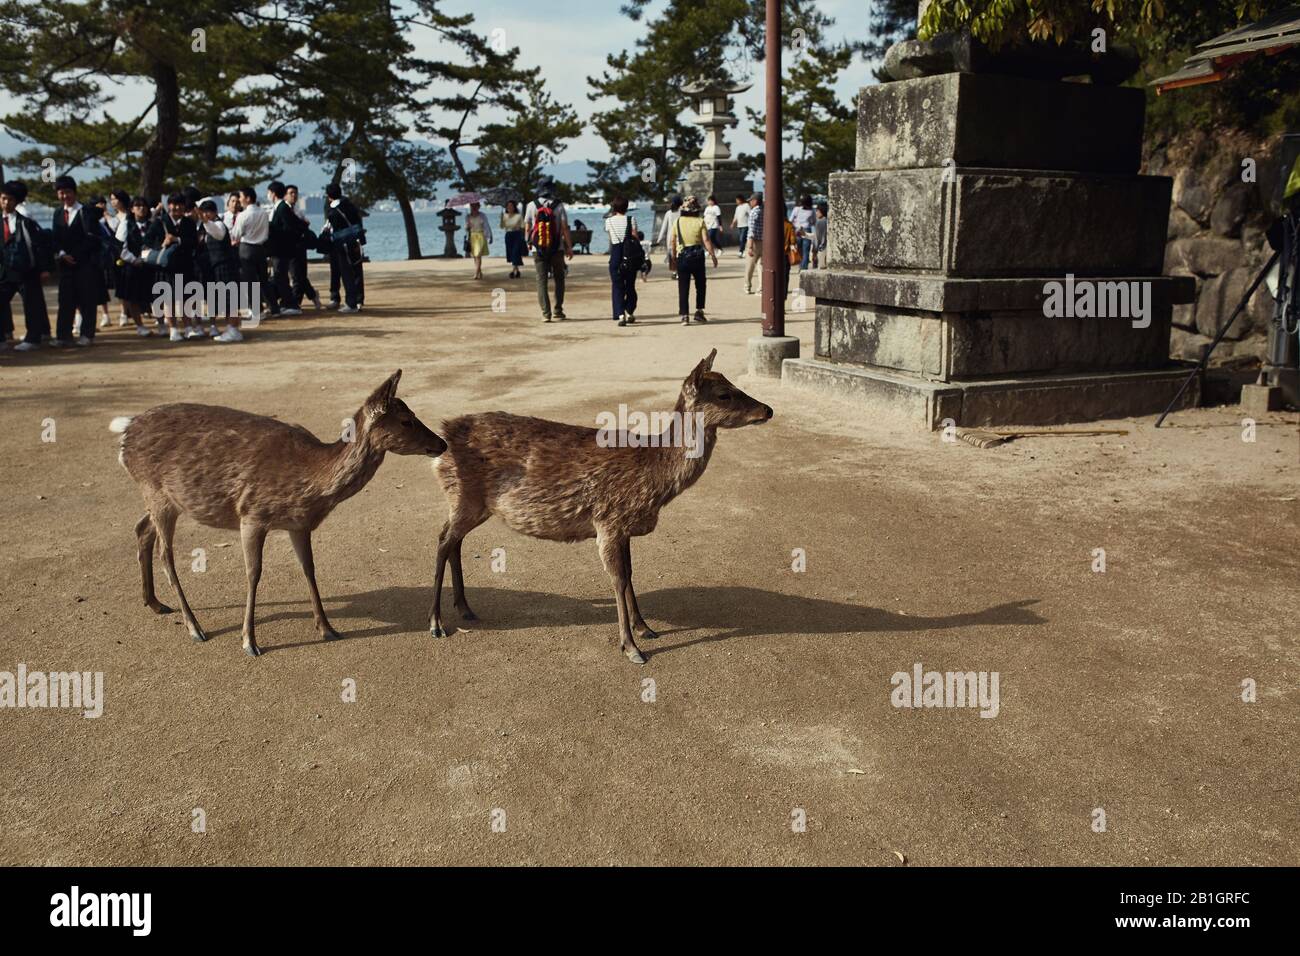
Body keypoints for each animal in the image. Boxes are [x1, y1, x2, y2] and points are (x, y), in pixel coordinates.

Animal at [111, 369, 447, 655]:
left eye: (413, 415)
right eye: (406, 420)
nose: (441, 443)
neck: (311, 481)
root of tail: (124, 436)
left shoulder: (298, 524)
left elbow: (309, 568)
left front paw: (327, 627)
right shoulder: (251, 514)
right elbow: (254, 573)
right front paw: (249, 641)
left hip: (165, 499)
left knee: (142, 529)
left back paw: (154, 603)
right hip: (155, 491)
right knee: (165, 553)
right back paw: (194, 627)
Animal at [431, 351, 764, 665]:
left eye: (733, 384)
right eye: (724, 394)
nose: (768, 409)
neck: (654, 482)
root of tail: (443, 436)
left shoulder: (623, 527)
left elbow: (630, 573)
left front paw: (645, 627)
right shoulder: (608, 521)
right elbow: (618, 579)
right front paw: (631, 647)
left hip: (471, 504)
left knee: (454, 541)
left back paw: (465, 608)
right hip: (464, 497)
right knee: (443, 540)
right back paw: (436, 623)